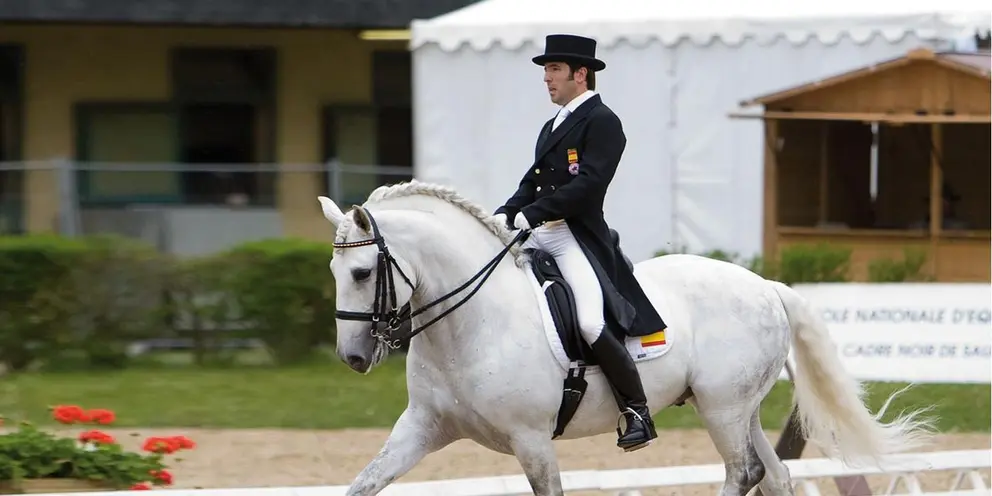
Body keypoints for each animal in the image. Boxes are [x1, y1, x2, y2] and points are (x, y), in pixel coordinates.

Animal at [314, 180, 933, 496]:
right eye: (333, 271)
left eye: (363, 273)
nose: (353, 357)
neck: (469, 324)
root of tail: (766, 286)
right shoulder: (422, 428)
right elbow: (361, 485)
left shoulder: (532, 441)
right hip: (736, 408)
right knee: (775, 474)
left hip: (723, 410)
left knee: (744, 472)